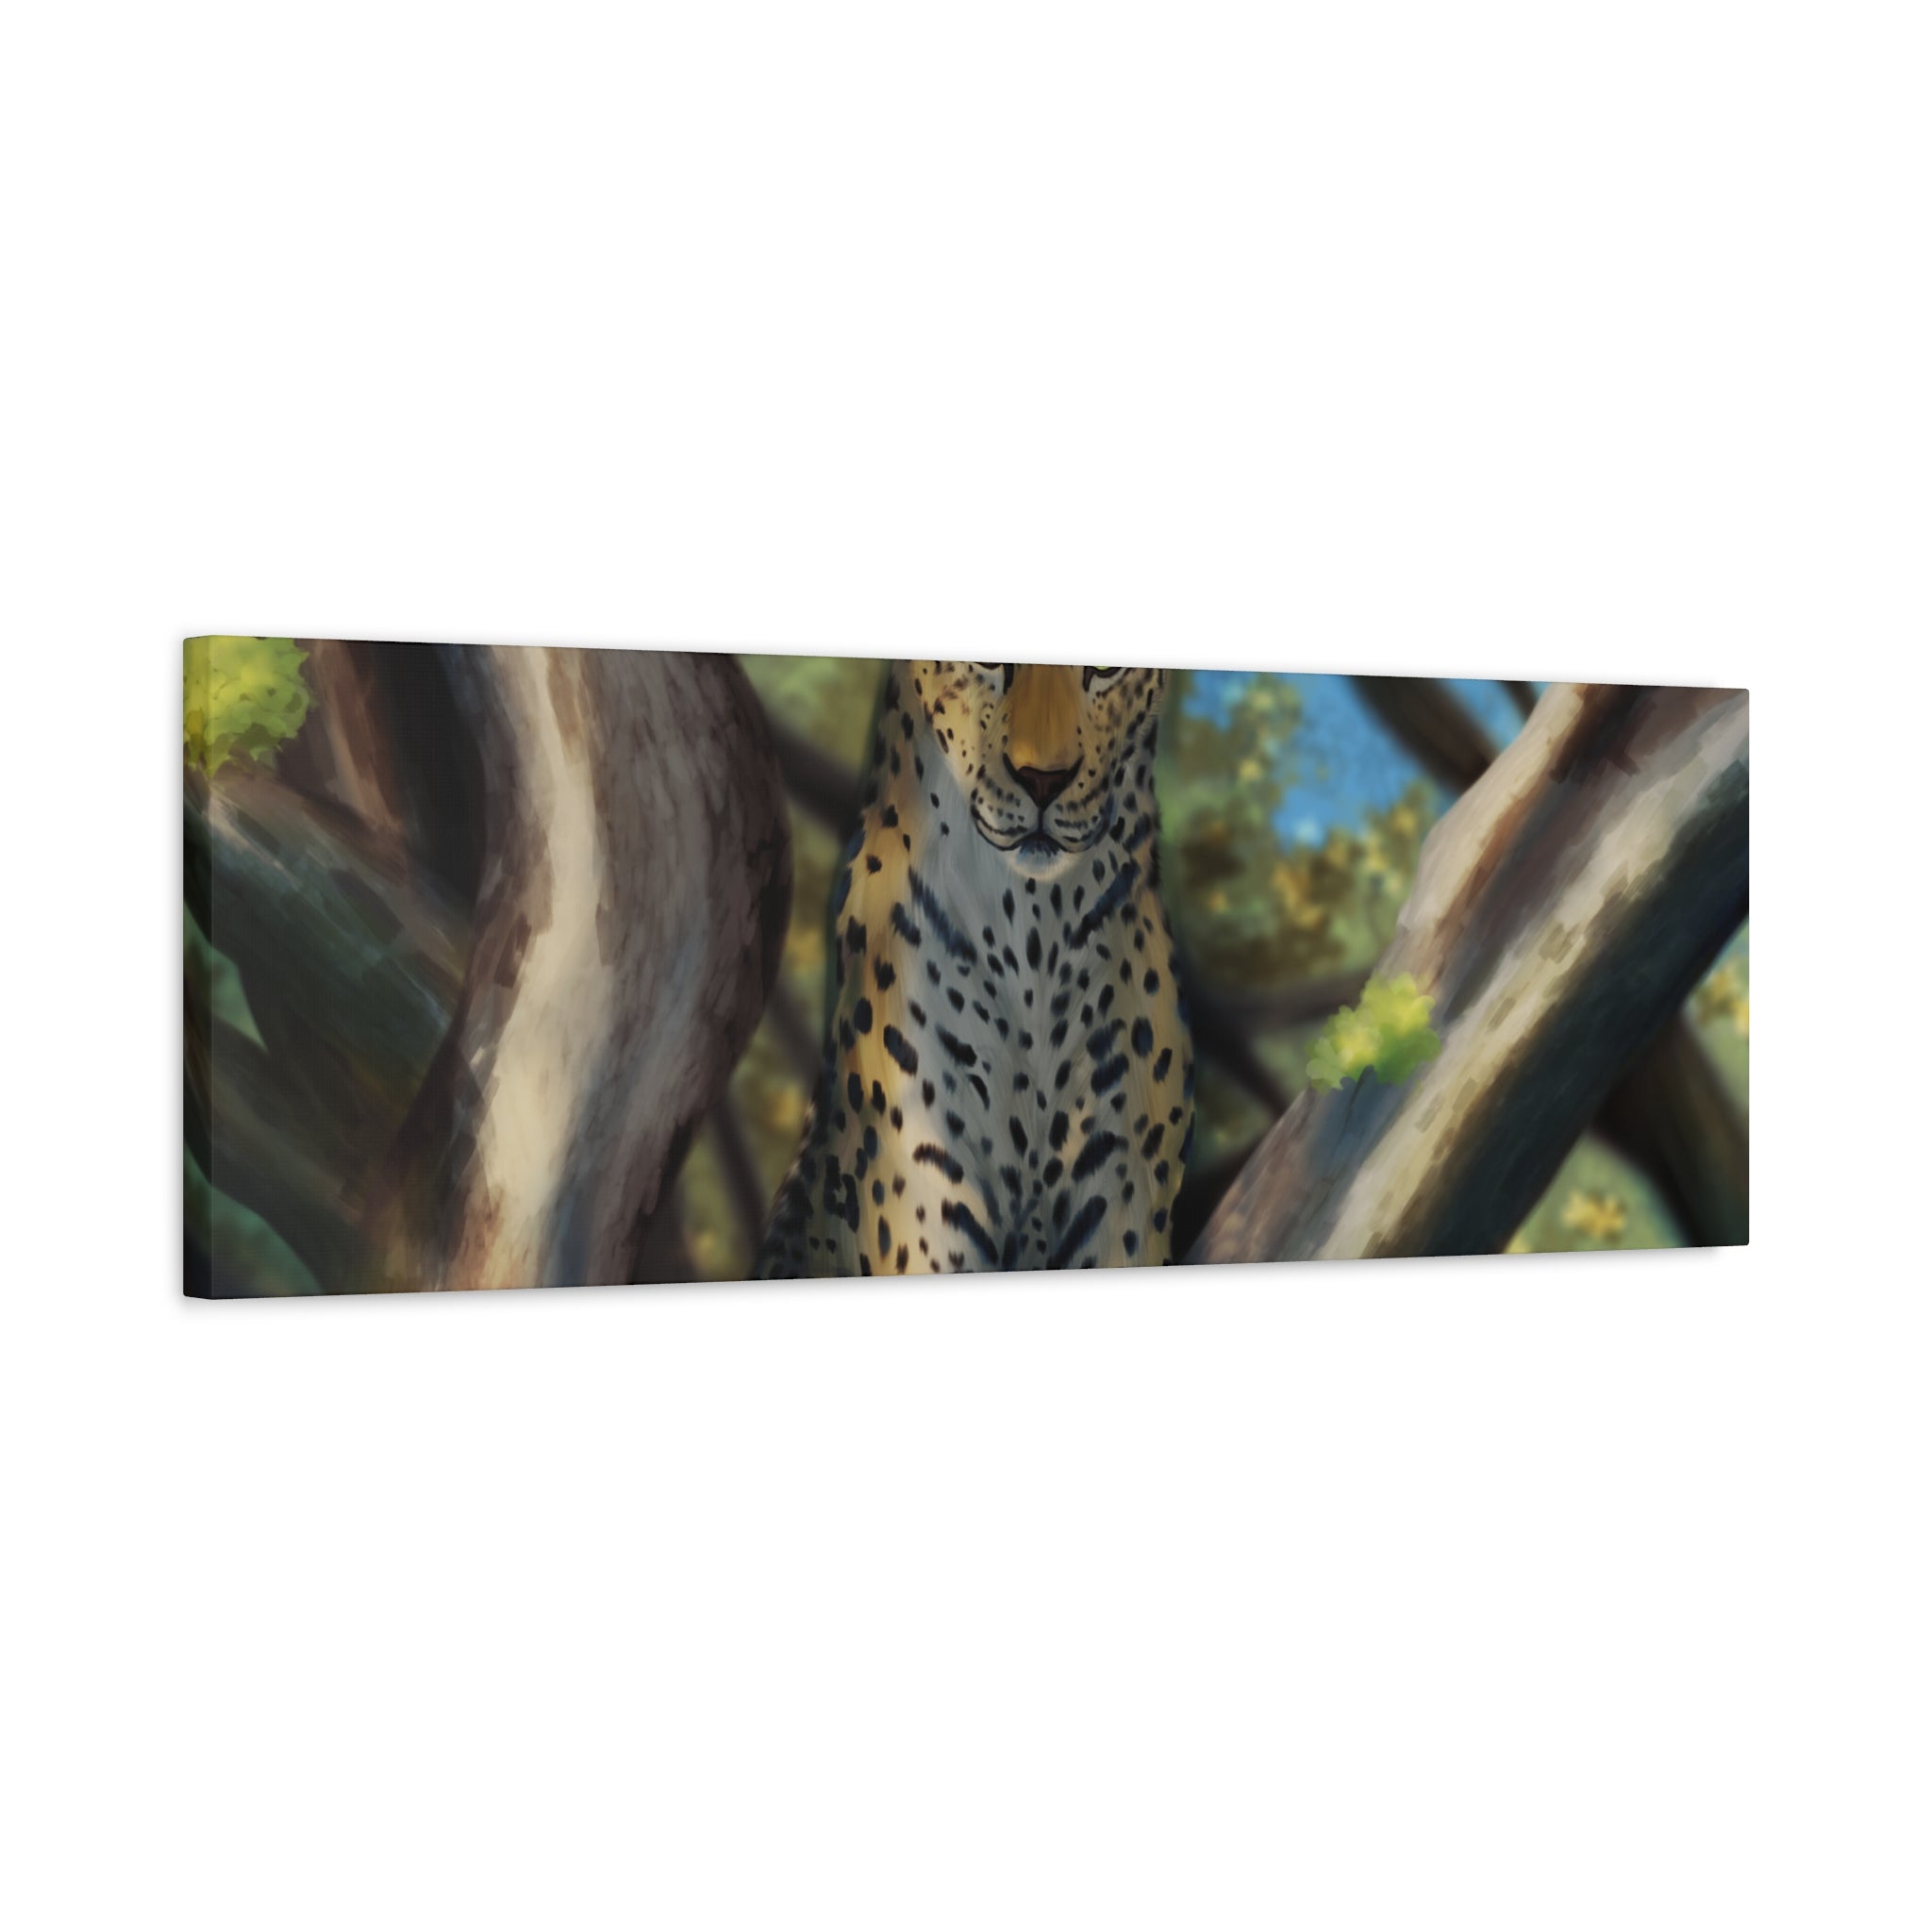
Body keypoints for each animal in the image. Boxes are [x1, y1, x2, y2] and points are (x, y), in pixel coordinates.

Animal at [756, 659, 1195, 1278]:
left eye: (1106, 669)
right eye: (986, 663)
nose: (1043, 781)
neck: (1035, 929)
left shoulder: (1122, 1190)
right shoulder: (926, 1185)